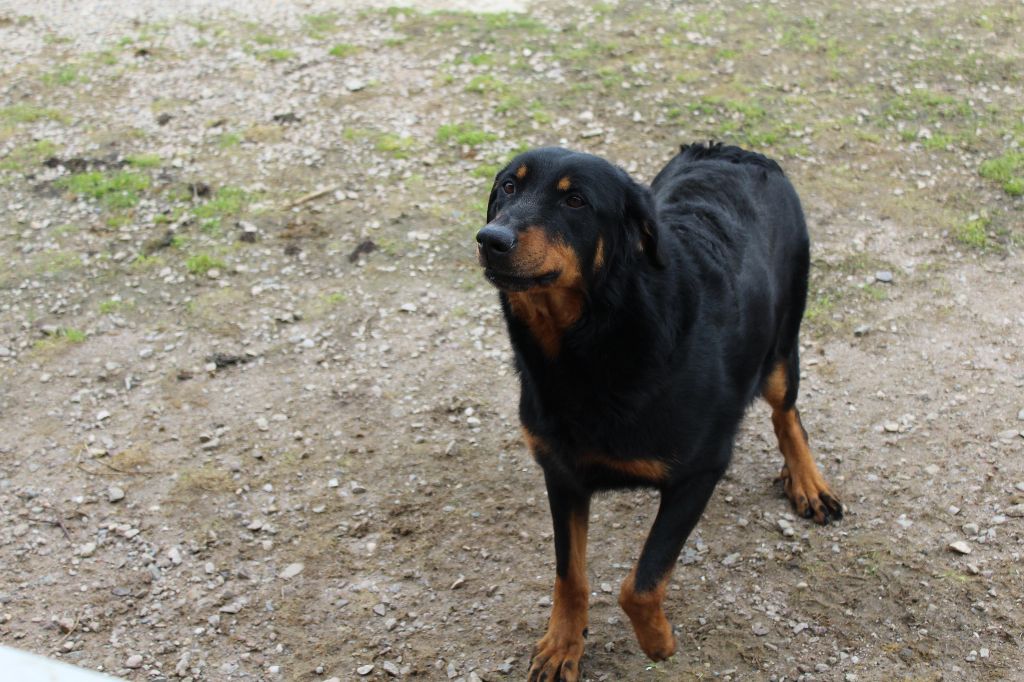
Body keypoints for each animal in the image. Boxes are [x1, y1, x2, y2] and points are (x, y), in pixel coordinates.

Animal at [475, 140, 843, 675]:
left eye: (576, 201)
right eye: (507, 187)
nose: (490, 239)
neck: (590, 345)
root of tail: (733, 149)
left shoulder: (700, 471)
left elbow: (641, 584)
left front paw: (658, 642)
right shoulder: (561, 473)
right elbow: (570, 574)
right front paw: (564, 643)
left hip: (781, 345)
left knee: (786, 412)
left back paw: (808, 481)